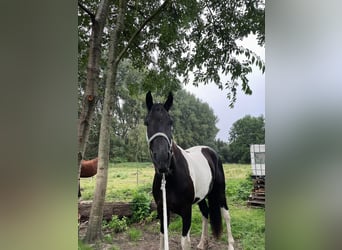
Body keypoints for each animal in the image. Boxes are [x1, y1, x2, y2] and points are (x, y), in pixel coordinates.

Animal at [144, 92, 235, 250]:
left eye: (171, 122)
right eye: (147, 122)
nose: (162, 160)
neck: (170, 178)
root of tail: (211, 151)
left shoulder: (186, 211)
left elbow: (185, 242)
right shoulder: (162, 210)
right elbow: (162, 237)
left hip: (220, 192)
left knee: (226, 215)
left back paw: (230, 245)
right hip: (202, 197)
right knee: (206, 213)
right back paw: (202, 243)